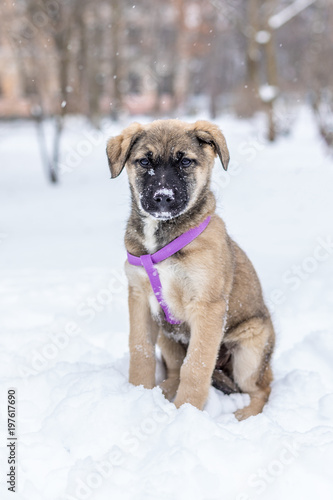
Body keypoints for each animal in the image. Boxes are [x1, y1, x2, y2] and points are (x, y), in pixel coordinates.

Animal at [107, 119, 274, 420]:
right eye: (144, 161)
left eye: (185, 161)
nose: (162, 198)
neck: (161, 238)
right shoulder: (139, 298)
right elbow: (140, 351)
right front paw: (138, 393)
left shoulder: (207, 306)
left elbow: (196, 366)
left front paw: (185, 412)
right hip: (167, 334)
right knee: (174, 369)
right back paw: (164, 389)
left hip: (250, 351)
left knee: (261, 388)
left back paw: (243, 415)